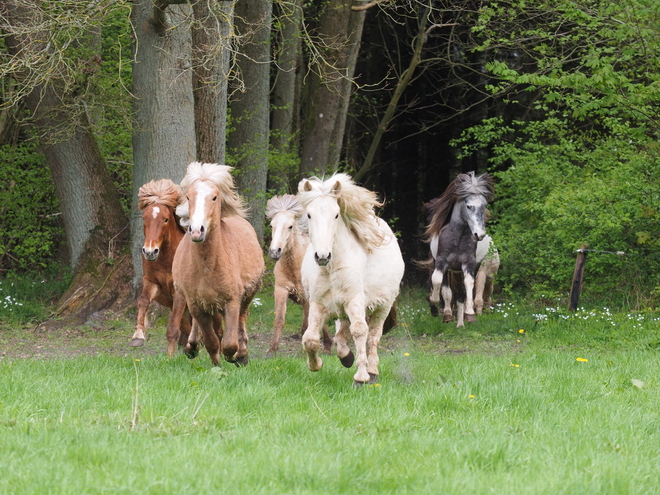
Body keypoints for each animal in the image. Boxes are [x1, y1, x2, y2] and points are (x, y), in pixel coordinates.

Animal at [129, 180, 191, 346]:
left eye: (166, 219)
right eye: (144, 218)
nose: (150, 252)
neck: (166, 260)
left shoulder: (178, 292)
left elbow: (174, 323)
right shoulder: (152, 283)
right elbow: (143, 300)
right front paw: (138, 335)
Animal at [168, 163, 266, 364]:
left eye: (214, 197)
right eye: (188, 196)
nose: (196, 231)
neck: (208, 267)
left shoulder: (232, 301)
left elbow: (229, 343)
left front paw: (236, 356)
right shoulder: (196, 304)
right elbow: (212, 341)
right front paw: (216, 364)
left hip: (247, 296)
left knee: (242, 320)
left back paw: (242, 353)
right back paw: (192, 347)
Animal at [298, 174, 402, 388]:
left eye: (336, 215)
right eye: (309, 215)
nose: (322, 256)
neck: (331, 269)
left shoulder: (355, 300)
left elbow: (360, 332)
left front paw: (361, 377)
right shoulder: (318, 303)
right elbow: (310, 338)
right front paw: (316, 365)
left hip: (382, 307)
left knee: (373, 337)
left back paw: (372, 372)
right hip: (342, 310)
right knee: (341, 336)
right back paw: (346, 357)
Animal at [426, 172, 492, 328]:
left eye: (484, 205)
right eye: (468, 206)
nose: (479, 234)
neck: (458, 237)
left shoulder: (469, 263)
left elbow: (469, 285)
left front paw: (470, 314)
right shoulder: (441, 262)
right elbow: (438, 282)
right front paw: (437, 306)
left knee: (461, 293)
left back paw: (461, 322)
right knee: (445, 288)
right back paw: (446, 313)